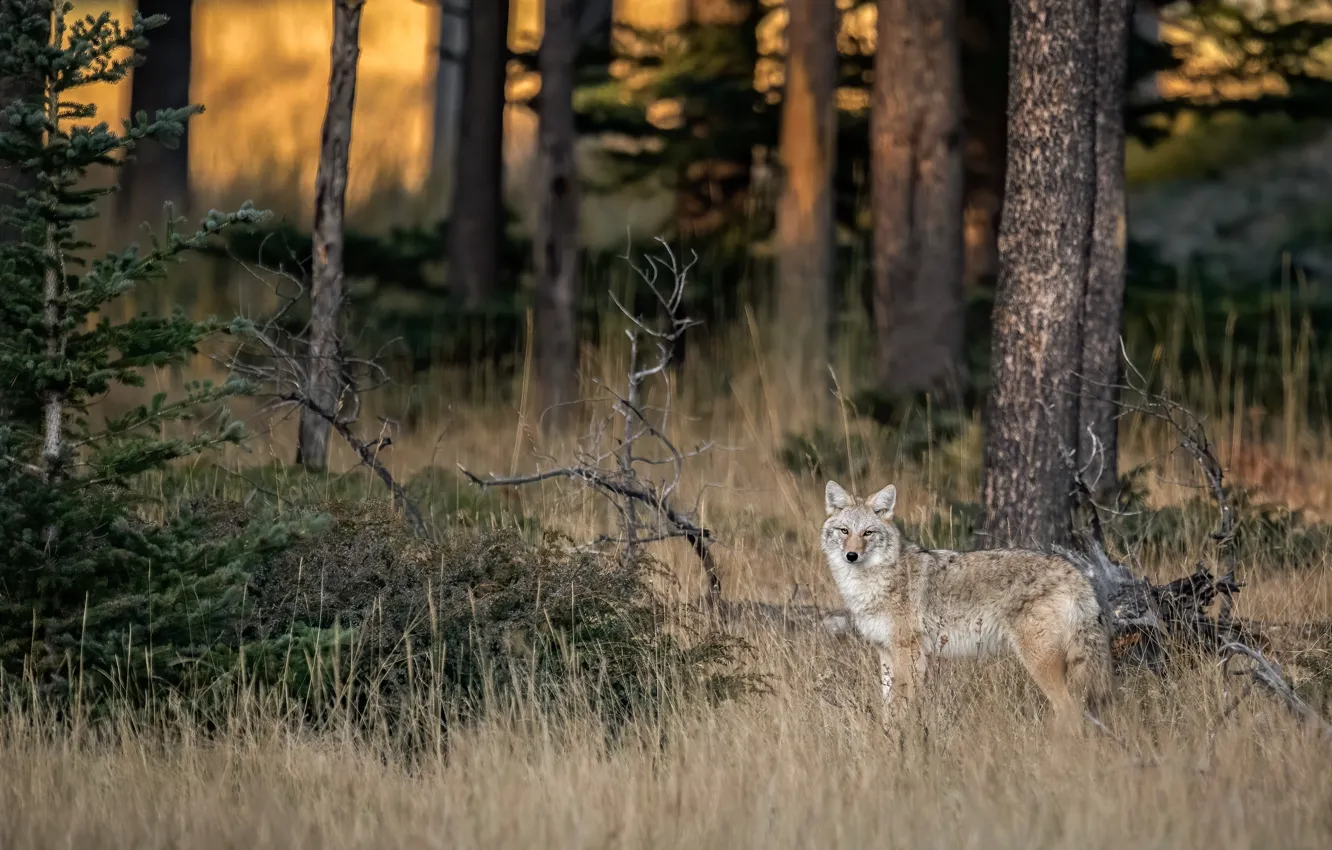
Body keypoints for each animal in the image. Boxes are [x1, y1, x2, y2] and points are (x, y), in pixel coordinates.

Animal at [820, 480, 1114, 730]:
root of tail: (1073, 570)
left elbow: (899, 706)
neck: (870, 585)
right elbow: (886, 706)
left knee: (1069, 709)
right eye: (844, 531)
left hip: (1039, 661)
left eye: (868, 533)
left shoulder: (909, 653)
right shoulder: (885, 652)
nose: (851, 555)